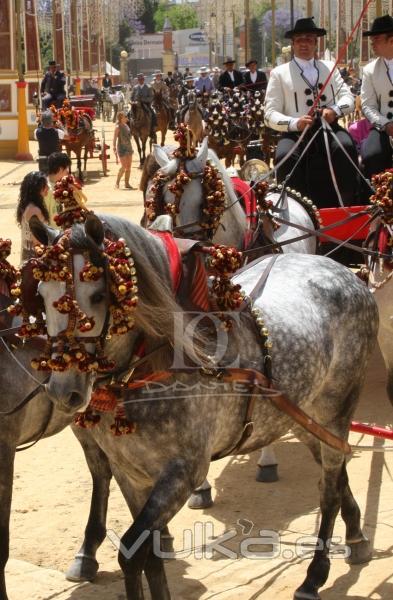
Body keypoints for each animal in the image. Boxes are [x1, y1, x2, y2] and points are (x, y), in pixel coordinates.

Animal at [31, 213, 376, 596]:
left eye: (99, 294)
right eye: (41, 294)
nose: (64, 390)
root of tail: (348, 275)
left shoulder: (183, 474)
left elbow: (131, 555)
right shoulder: (129, 474)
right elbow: (150, 556)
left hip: (336, 408)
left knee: (328, 488)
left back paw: (314, 576)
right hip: (300, 415)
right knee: (335, 467)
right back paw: (356, 535)